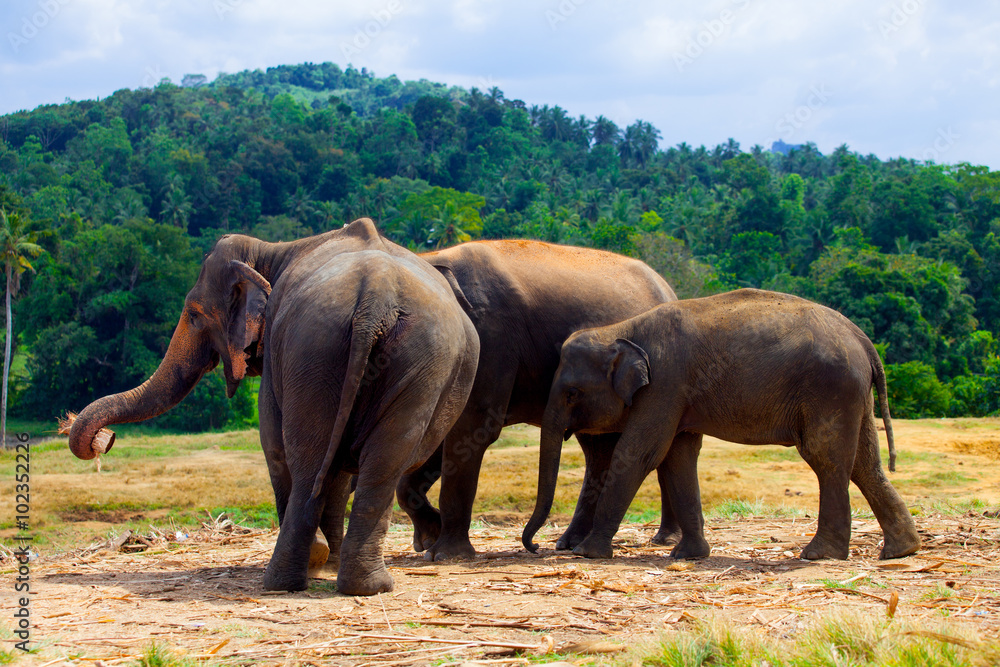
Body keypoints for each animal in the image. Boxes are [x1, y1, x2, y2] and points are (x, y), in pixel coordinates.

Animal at [66, 219, 480, 596]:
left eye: (195, 315)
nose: (106, 439)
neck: (273, 249)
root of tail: (374, 304)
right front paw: (328, 563)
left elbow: (274, 444)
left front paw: (322, 560)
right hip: (407, 358)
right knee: (378, 461)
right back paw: (365, 585)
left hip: (313, 352)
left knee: (301, 458)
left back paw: (289, 577)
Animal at [394, 240, 700, 560]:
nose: (535, 546)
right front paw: (429, 538)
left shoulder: (492, 339)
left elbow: (473, 430)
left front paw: (443, 554)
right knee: (598, 448)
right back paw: (571, 542)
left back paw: (663, 539)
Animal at [524, 290, 920, 568]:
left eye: (572, 394)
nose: (537, 546)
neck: (620, 330)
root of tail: (863, 339)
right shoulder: (677, 394)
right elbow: (678, 457)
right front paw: (688, 555)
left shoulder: (665, 384)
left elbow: (640, 454)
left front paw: (588, 553)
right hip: (852, 393)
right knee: (864, 464)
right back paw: (901, 551)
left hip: (831, 387)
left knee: (826, 459)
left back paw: (820, 555)